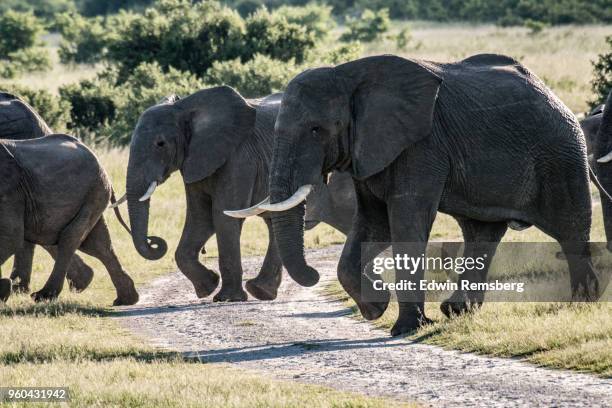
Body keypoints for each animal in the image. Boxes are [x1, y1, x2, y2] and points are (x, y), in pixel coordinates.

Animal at [0, 135, 139, 304]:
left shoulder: (9, 190)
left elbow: (11, 238)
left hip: (93, 193)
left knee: (70, 238)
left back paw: (43, 296)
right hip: (94, 194)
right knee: (99, 245)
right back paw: (126, 299)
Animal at [122, 86, 356, 302]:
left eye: (160, 144)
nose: (154, 241)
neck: (185, 107)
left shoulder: (240, 159)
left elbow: (223, 216)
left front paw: (227, 298)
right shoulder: (197, 161)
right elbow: (201, 218)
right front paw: (208, 287)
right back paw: (261, 291)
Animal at [231, 53, 604, 334]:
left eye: (315, 130)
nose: (312, 275)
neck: (349, 76)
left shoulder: (421, 146)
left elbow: (406, 221)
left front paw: (406, 327)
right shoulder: (371, 150)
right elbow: (373, 223)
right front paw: (376, 307)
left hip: (560, 155)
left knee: (570, 229)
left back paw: (583, 301)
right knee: (481, 233)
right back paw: (456, 311)